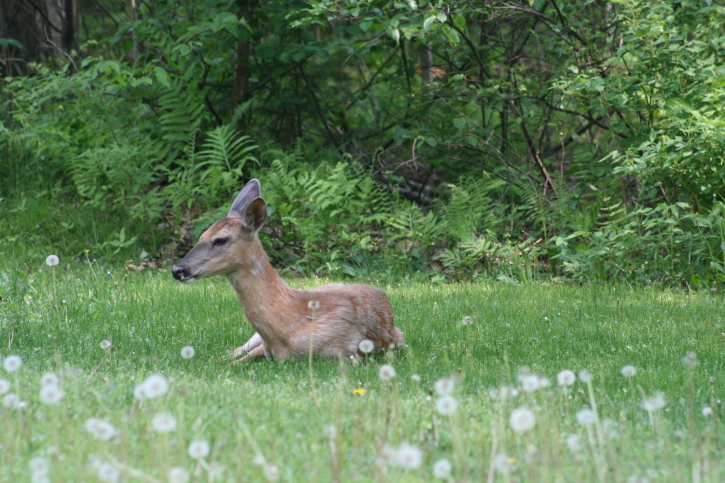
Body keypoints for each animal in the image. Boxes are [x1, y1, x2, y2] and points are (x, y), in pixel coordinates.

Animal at [172, 179, 404, 364]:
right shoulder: (264, 347)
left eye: (220, 239)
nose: (178, 269)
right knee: (235, 349)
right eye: (201, 235)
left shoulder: (347, 355)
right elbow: (232, 362)